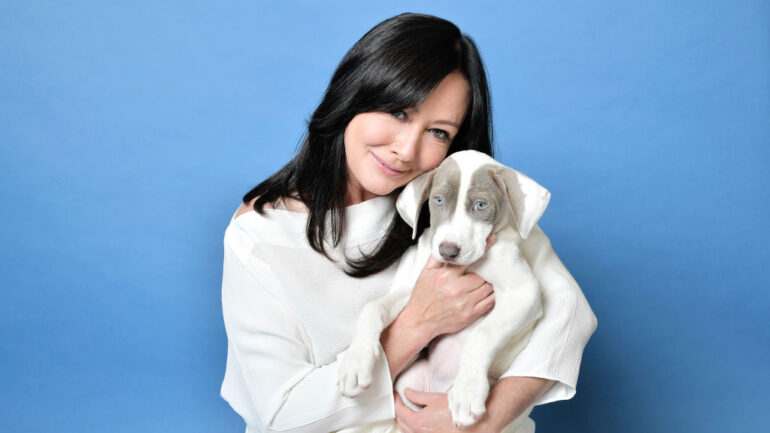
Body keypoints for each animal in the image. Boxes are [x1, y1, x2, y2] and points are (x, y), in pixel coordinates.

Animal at [340, 150, 548, 426]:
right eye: (438, 200)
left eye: (480, 205)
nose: (448, 251)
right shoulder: (417, 289)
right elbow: (372, 307)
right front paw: (355, 362)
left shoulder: (525, 293)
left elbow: (482, 334)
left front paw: (468, 392)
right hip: (411, 380)